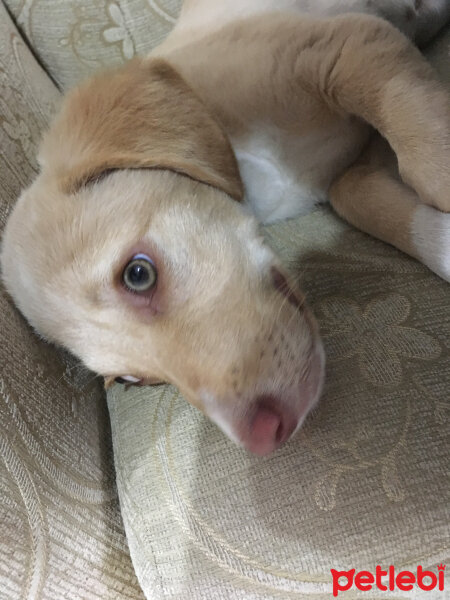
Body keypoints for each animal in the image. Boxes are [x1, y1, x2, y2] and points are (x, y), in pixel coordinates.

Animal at [2, 0, 450, 454]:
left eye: (137, 274)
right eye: (130, 379)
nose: (263, 438)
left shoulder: (348, 45)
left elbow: (430, 161)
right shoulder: (352, 168)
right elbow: (370, 202)